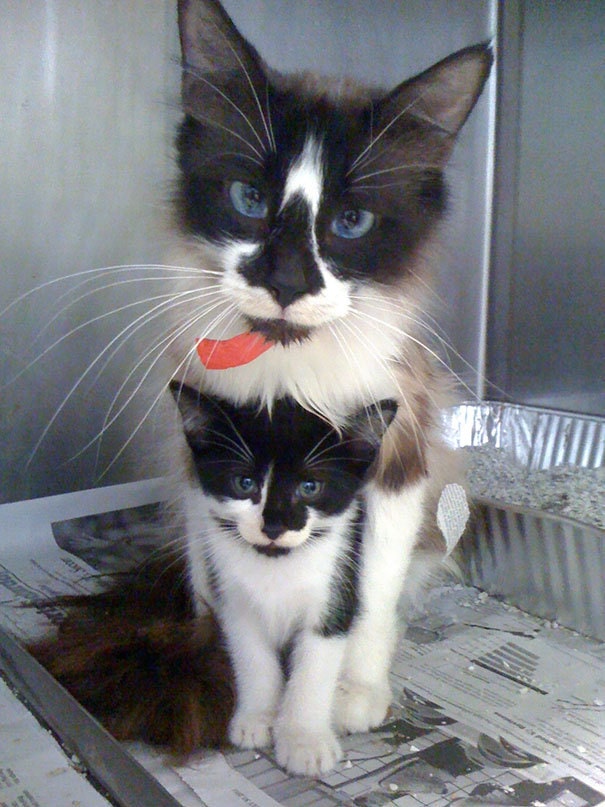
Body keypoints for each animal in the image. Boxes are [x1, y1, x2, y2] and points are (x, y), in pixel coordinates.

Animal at [170, 384, 396, 776]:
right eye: (244, 482)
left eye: (310, 487)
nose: (273, 525)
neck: (275, 564)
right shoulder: (233, 599)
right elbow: (253, 658)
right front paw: (258, 717)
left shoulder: (334, 592)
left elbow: (313, 670)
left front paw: (304, 740)